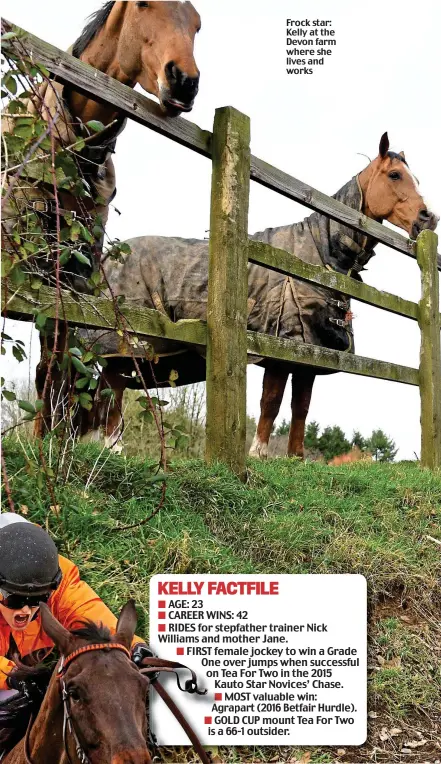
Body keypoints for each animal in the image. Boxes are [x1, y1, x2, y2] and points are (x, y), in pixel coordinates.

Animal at [75, 133, 436, 454]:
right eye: (394, 174)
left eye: (416, 178)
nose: (428, 218)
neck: (318, 256)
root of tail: (110, 255)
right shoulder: (280, 350)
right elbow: (271, 403)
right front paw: (258, 454)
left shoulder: (309, 358)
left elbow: (300, 408)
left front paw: (295, 459)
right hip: (125, 343)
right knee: (114, 388)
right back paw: (113, 448)